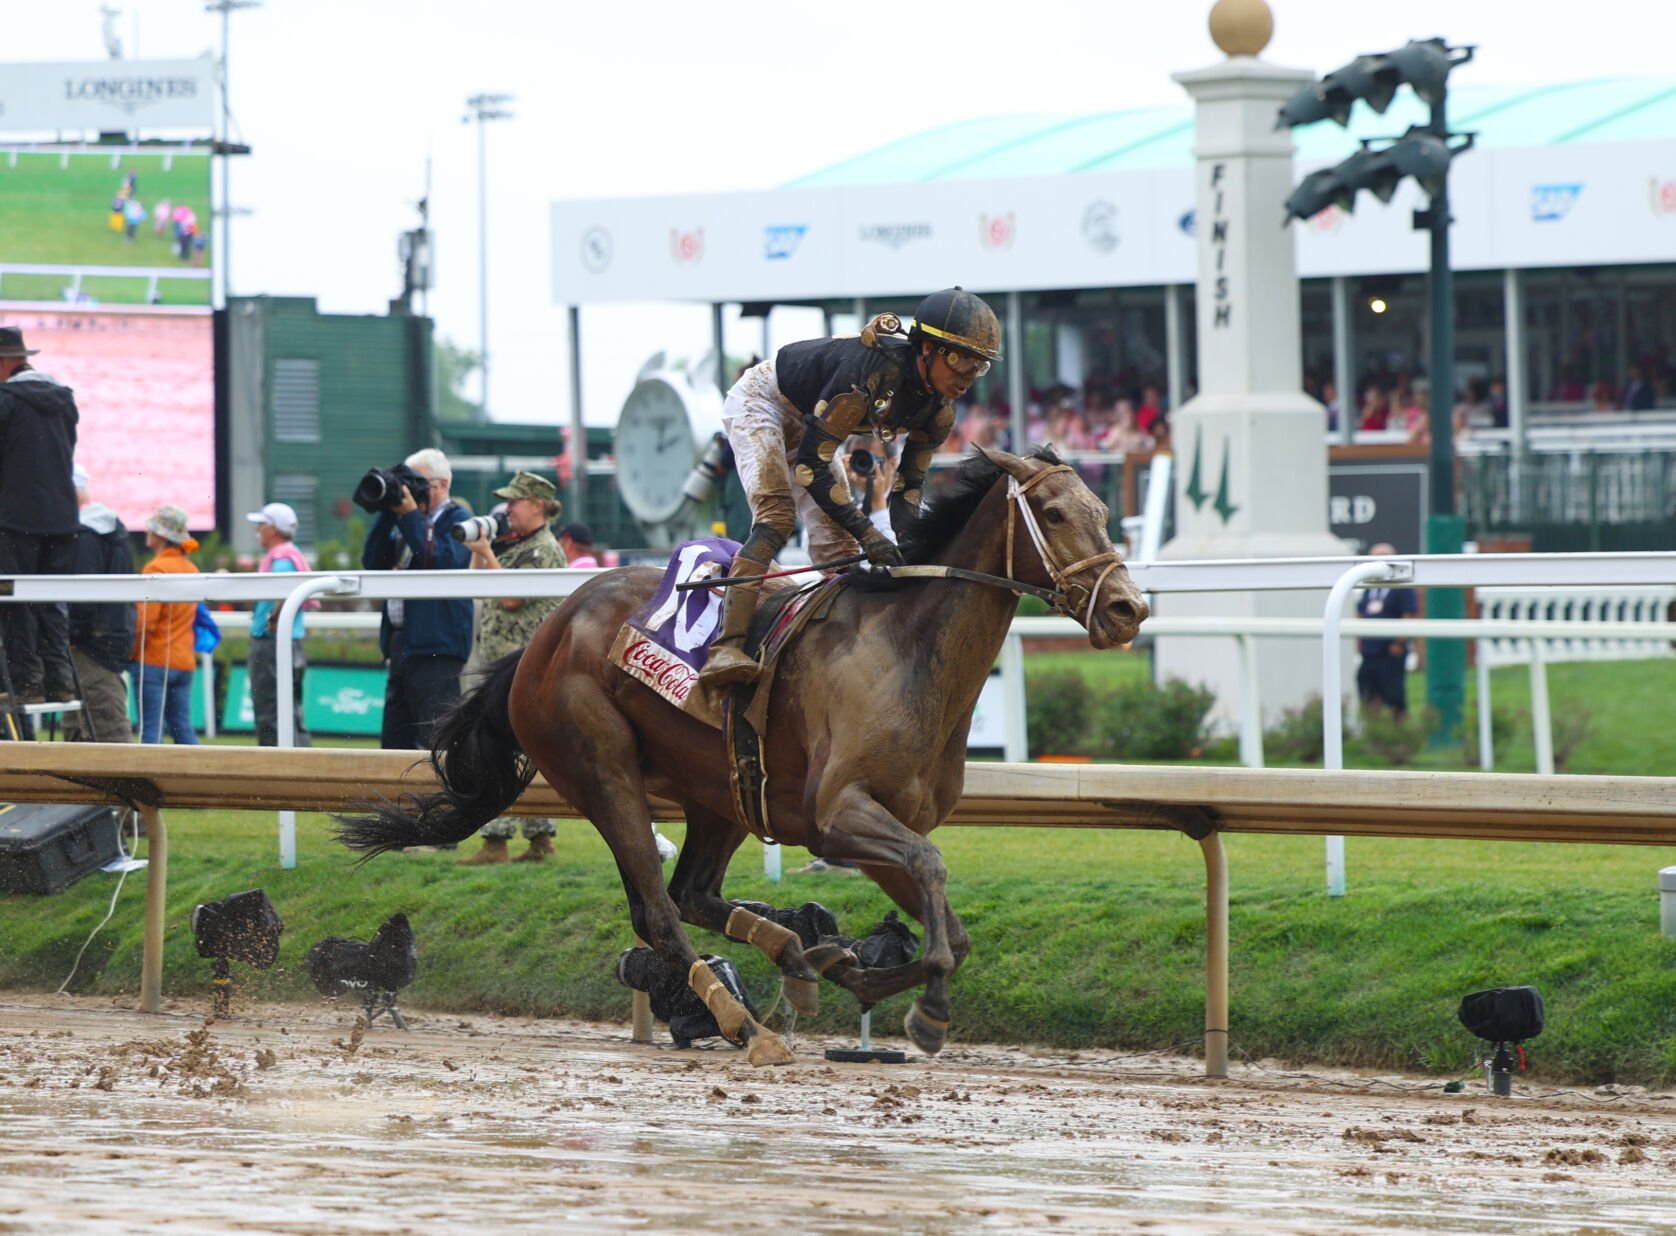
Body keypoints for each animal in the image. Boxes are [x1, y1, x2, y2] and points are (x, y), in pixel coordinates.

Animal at [340, 442, 1153, 1059]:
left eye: (1102, 512)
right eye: (1054, 513)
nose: (1127, 608)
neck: (906, 651)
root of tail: (545, 634)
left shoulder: (881, 824)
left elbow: (948, 923)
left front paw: (847, 964)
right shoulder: (837, 816)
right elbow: (933, 882)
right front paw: (926, 1010)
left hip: (722, 789)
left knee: (693, 893)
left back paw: (792, 959)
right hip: (600, 768)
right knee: (657, 912)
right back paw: (743, 1024)